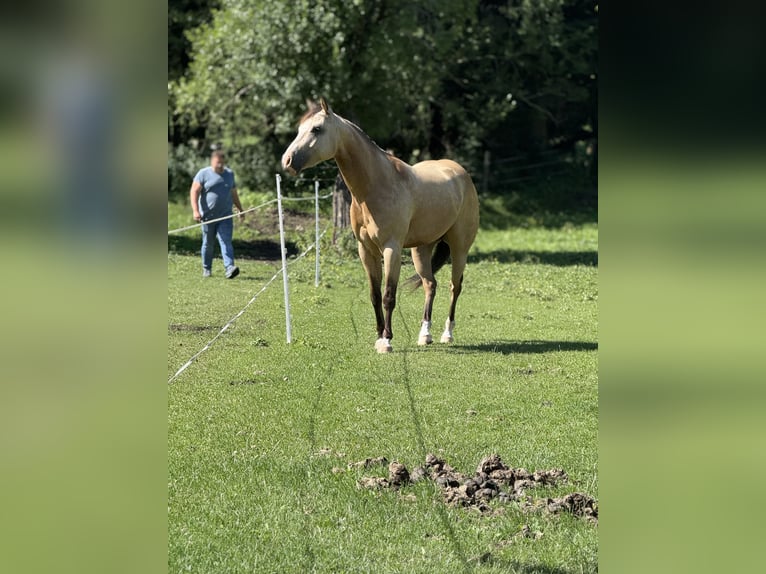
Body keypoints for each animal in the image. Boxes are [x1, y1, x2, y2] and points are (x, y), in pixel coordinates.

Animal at [281, 98, 479, 353]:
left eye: (316, 129)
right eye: (299, 129)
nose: (287, 161)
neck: (376, 185)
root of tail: (460, 172)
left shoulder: (391, 248)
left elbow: (388, 296)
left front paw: (386, 340)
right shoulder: (366, 250)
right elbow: (374, 295)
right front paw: (378, 336)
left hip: (459, 248)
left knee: (455, 286)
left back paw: (447, 334)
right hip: (421, 249)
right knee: (430, 285)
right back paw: (425, 335)